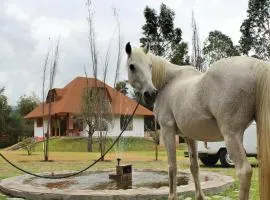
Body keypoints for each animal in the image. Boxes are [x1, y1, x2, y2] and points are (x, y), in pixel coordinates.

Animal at [125, 42, 270, 200]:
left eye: (150, 65)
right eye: (132, 66)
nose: (150, 93)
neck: (168, 82)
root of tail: (256, 66)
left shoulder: (167, 130)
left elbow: (172, 166)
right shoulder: (190, 136)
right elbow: (194, 166)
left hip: (231, 135)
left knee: (244, 171)